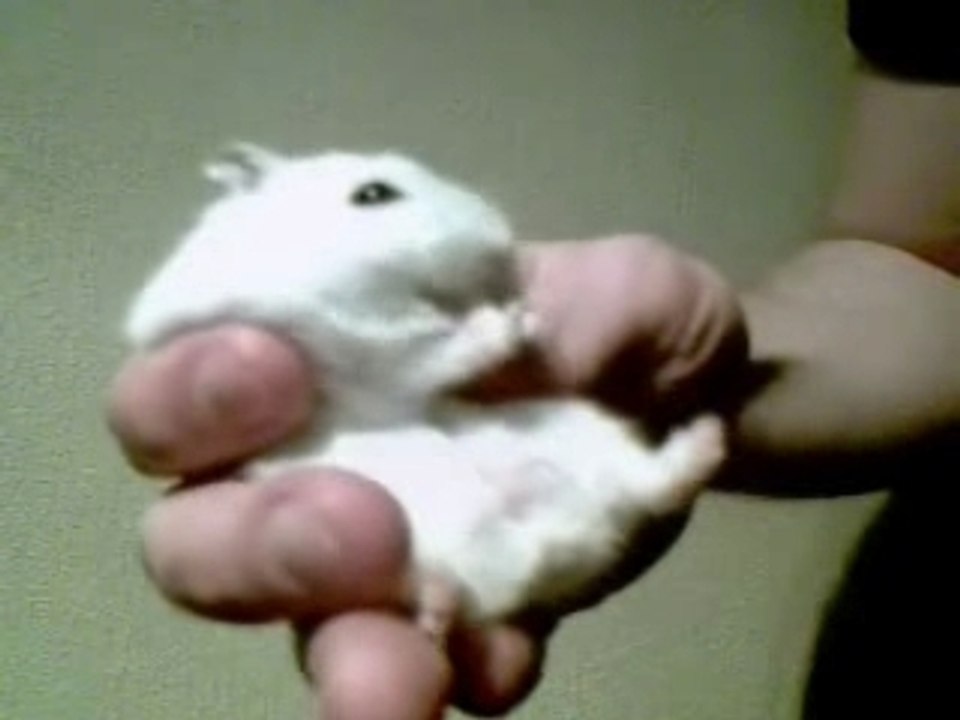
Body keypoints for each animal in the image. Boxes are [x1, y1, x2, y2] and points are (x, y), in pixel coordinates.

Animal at [126, 143, 725, 638]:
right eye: (373, 194)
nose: (503, 240)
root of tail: (544, 542)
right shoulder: (363, 346)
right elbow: (434, 351)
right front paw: (509, 321)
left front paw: (525, 320)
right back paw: (437, 608)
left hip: (576, 432)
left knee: (648, 485)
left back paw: (707, 439)